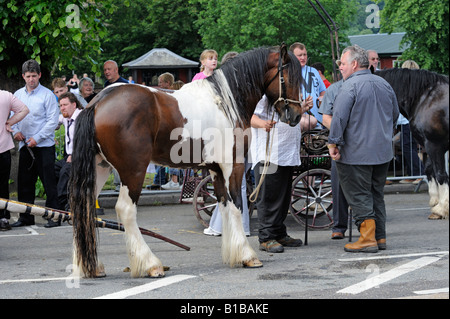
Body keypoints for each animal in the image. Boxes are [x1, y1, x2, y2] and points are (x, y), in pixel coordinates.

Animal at [378, 68, 448, 220]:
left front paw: (442, 208)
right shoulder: (428, 146)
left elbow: (440, 174)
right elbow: (429, 170)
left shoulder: (435, 145)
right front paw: (435, 202)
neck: (425, 98)